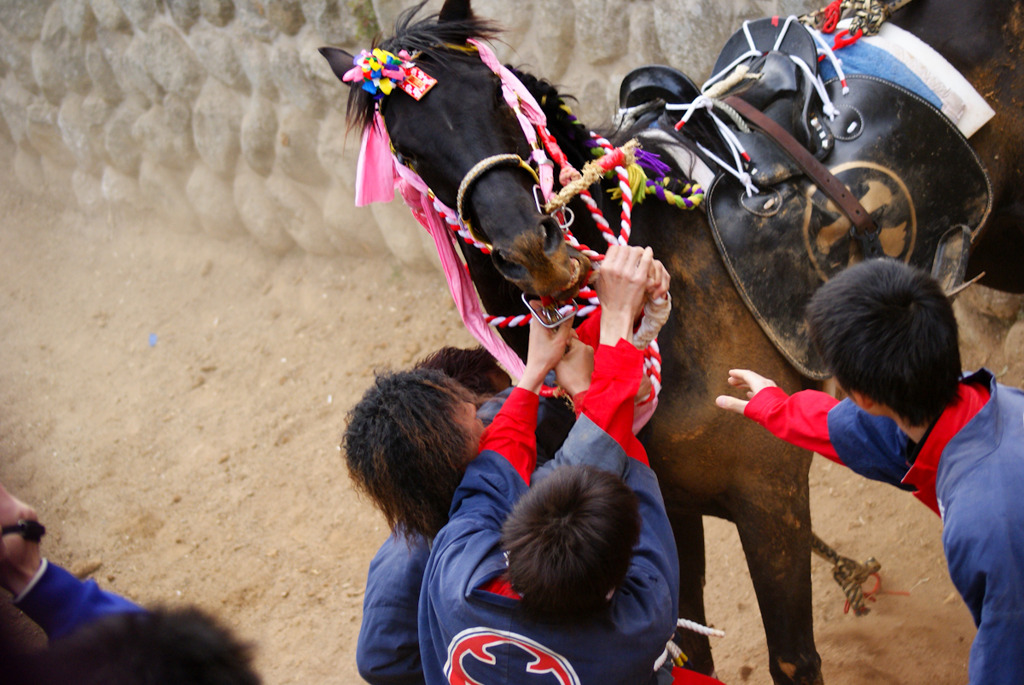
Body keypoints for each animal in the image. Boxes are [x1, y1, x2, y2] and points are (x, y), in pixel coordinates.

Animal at [322, 1, 1023, 682]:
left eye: (498, 99)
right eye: (408, 154)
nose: (534, 251)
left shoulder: (770, 495)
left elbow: (792, 658)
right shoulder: (662, 510)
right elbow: (689, 647)